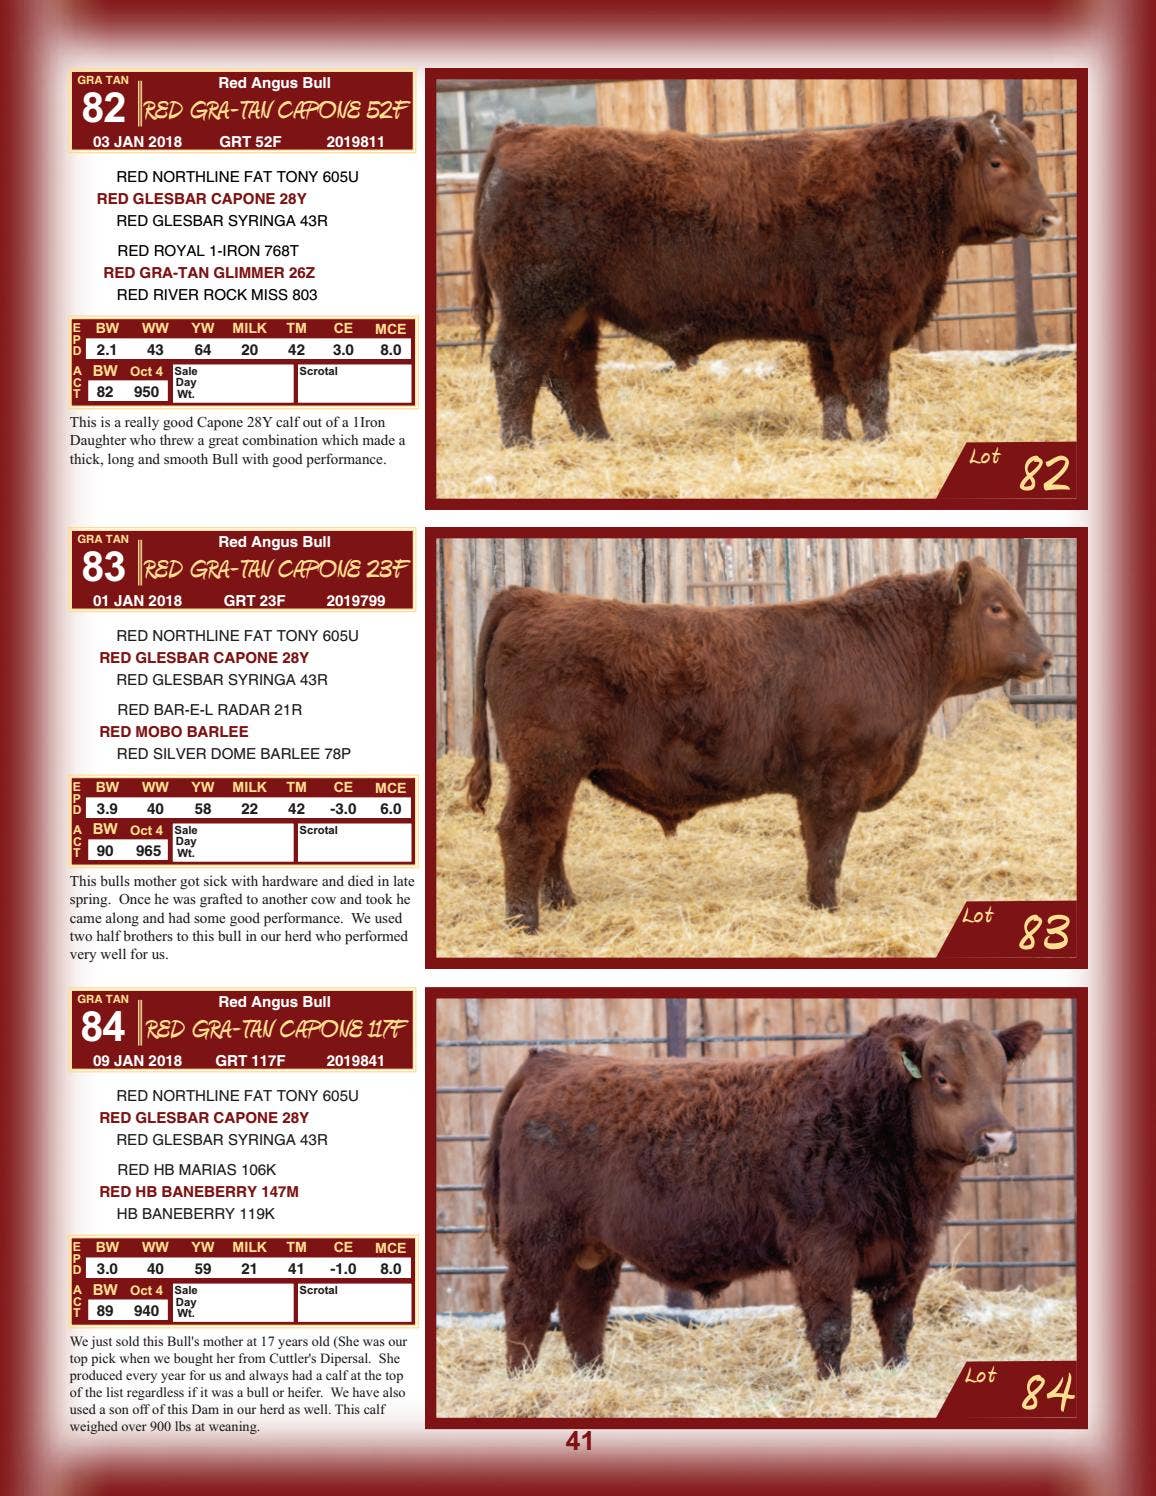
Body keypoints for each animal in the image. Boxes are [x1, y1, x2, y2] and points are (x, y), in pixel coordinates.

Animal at [464, 558, 1052, 932]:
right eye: (997, 608)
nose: (1047, 659)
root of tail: (530, 596)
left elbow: (818, 850)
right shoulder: (836, 780)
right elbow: (828, 852)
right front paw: (826, 909)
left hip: (557, 771)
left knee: (553, 834)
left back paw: (564, 904)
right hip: (545, 763)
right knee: (525, 832)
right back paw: (524, 923)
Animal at [470, 113, 1059, 447]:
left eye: (1032, 159)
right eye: (998, 163)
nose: (1049, 217)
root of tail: (521, 134)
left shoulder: (827, 330)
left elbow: (832, 391)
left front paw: (836, 440)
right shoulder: (862, 322)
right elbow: (870, 388)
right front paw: (878, 440)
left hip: (573, 312)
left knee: (571, 373)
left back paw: (597, 440)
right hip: (536, 305)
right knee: (516, 367)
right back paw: (519, 444)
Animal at [482, 1014, 1044, 1378]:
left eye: (1003, 1077)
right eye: (941, 1077)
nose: (998, 1138)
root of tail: (552, 1061)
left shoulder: (913, 1250)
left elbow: (897, 1323)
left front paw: (896, 1375)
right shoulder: (823, 1246)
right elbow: (832, 1326)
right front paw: (832, 1385)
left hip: (594, 1249)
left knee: (584, 1312)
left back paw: (592, 1380)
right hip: (539, 1238)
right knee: (526, 1306)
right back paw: (521, 1382)